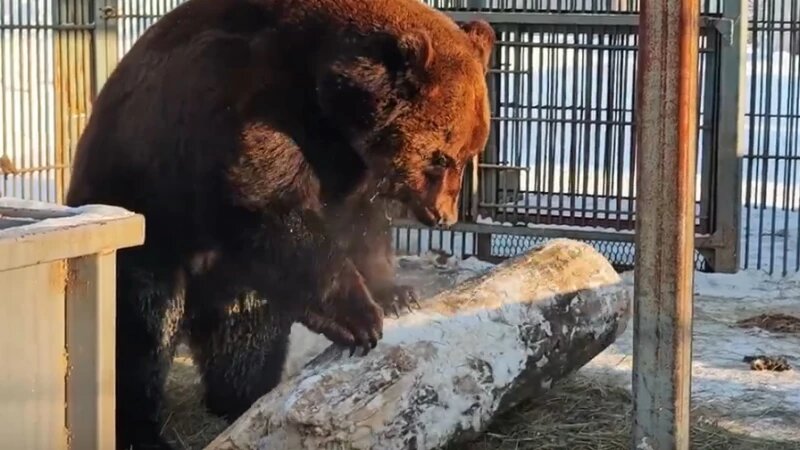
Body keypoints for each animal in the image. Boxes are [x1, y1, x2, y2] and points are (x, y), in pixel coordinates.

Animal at [64, 0, 494, 448]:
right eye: (441, 158)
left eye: (470, 153)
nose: (443, 216)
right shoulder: (246, 105)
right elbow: (274, 207)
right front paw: (359, 319)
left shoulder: (346, 165)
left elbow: (361, 224)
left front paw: (396, 293)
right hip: (143, 210)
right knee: (140, 329)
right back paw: (142, 428)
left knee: (247, 332)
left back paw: (242, 397)